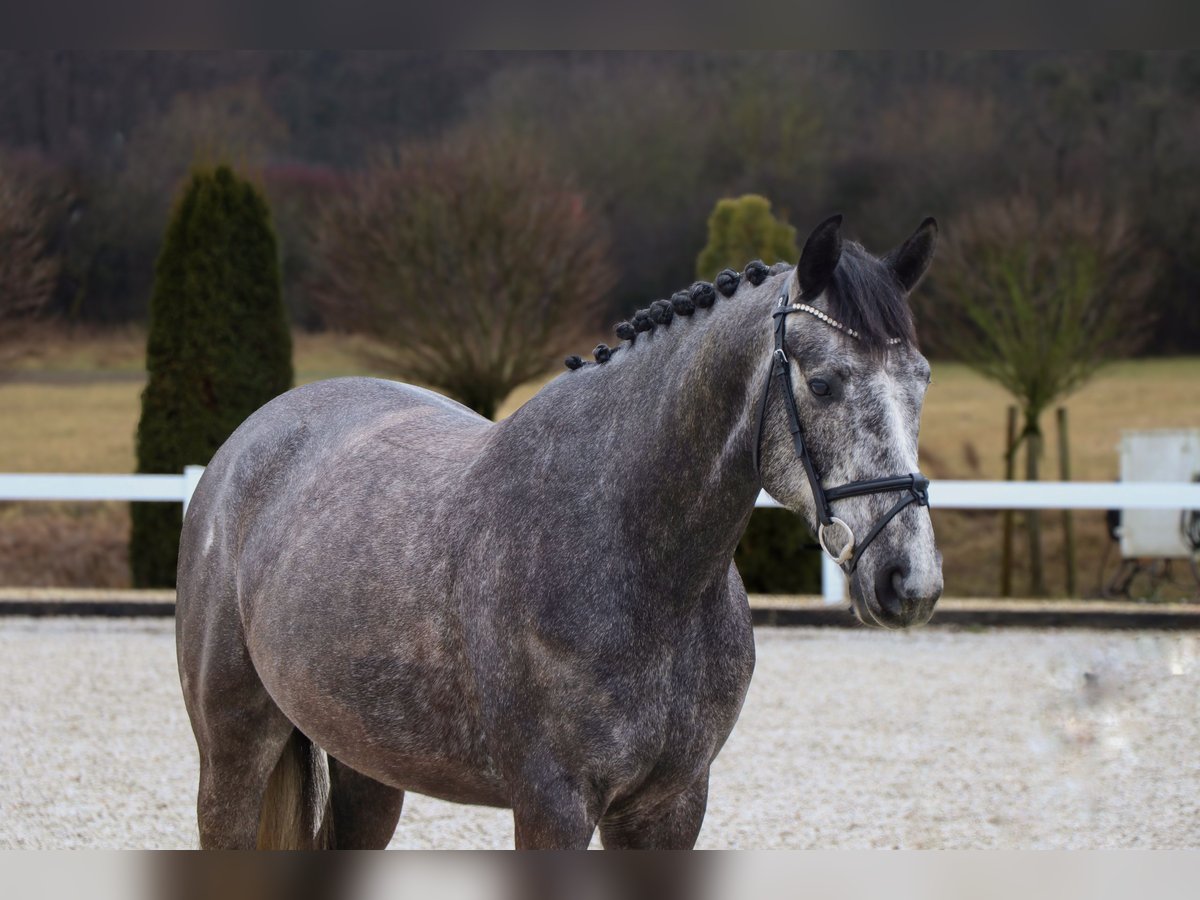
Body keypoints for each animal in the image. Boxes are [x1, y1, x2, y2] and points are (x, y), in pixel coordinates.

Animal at [174, 214, 940, 849]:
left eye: (921, 380)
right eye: (823, 383)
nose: (910, 580)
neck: (637, 557)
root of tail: (243, 446)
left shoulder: (670, 807)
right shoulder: (553, 805)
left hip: (368, 764)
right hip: (233, 752)